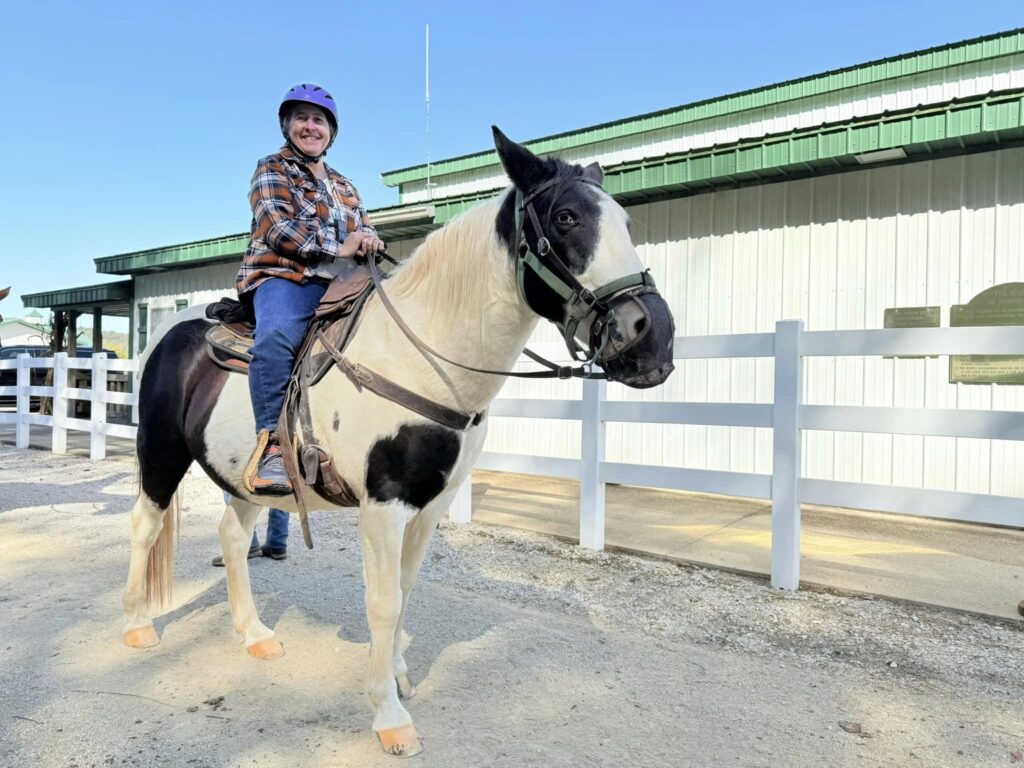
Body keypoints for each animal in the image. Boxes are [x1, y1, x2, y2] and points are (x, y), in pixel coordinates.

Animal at [119, 128, 675, 757]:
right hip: (160, 451)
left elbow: (406, 591)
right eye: (565, 217)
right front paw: (389, 715)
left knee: (233, 538)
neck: (424, 357)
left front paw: (401, 675)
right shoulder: (383, 505)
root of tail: (171, 332)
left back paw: (255, 634)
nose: (652, 337)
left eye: (626, 221)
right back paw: (138, 627)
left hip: (242, 476)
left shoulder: (429, 507)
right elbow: (383, 604)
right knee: (145, 524)